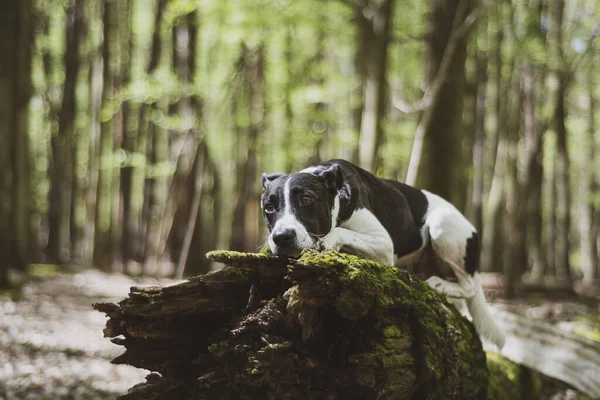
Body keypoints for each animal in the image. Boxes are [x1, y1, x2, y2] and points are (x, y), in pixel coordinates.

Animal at [262, 158, 506, 348]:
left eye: (306, 199)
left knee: (469, 287)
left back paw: (439, 283)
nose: (281, 237)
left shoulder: (384, 244)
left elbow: (340, 231)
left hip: (442, 226)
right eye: (268, 207)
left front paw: (326, 241)